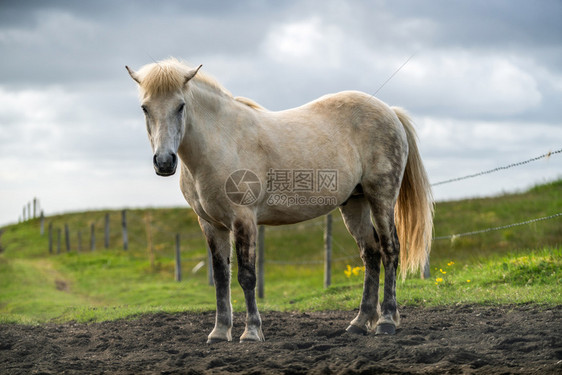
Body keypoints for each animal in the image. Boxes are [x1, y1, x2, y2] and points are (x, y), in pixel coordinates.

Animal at [126, 58, 434, 344]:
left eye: (180, 106)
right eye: (145, 108)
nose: (164, 162)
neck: (221, 142)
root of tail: (390, 111)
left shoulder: (244, 220)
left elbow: (246, 276)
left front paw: (251, 333)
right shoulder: (211, 225)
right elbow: (221, 277)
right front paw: (220, 332)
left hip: (381, 197)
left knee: (390, 250)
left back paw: (386, 322)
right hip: (354, 203)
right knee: (371, 255)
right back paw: (359, 324)